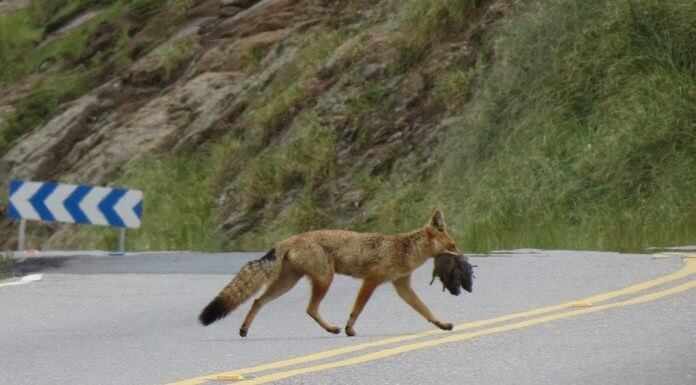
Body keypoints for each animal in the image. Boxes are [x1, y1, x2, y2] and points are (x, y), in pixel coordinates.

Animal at [200, 208, 462, 334]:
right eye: (453, 246)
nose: (463, 256)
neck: (406, 249)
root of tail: (289, 239)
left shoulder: (402, 286)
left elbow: (426, 311)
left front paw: (442, 324)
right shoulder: (371, 281)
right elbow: (357, 309)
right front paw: (349, 329)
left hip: (288, 284)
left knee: (257, 301)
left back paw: (244, 330)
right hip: (325, 280)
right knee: (309, 308)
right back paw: (334, 329)